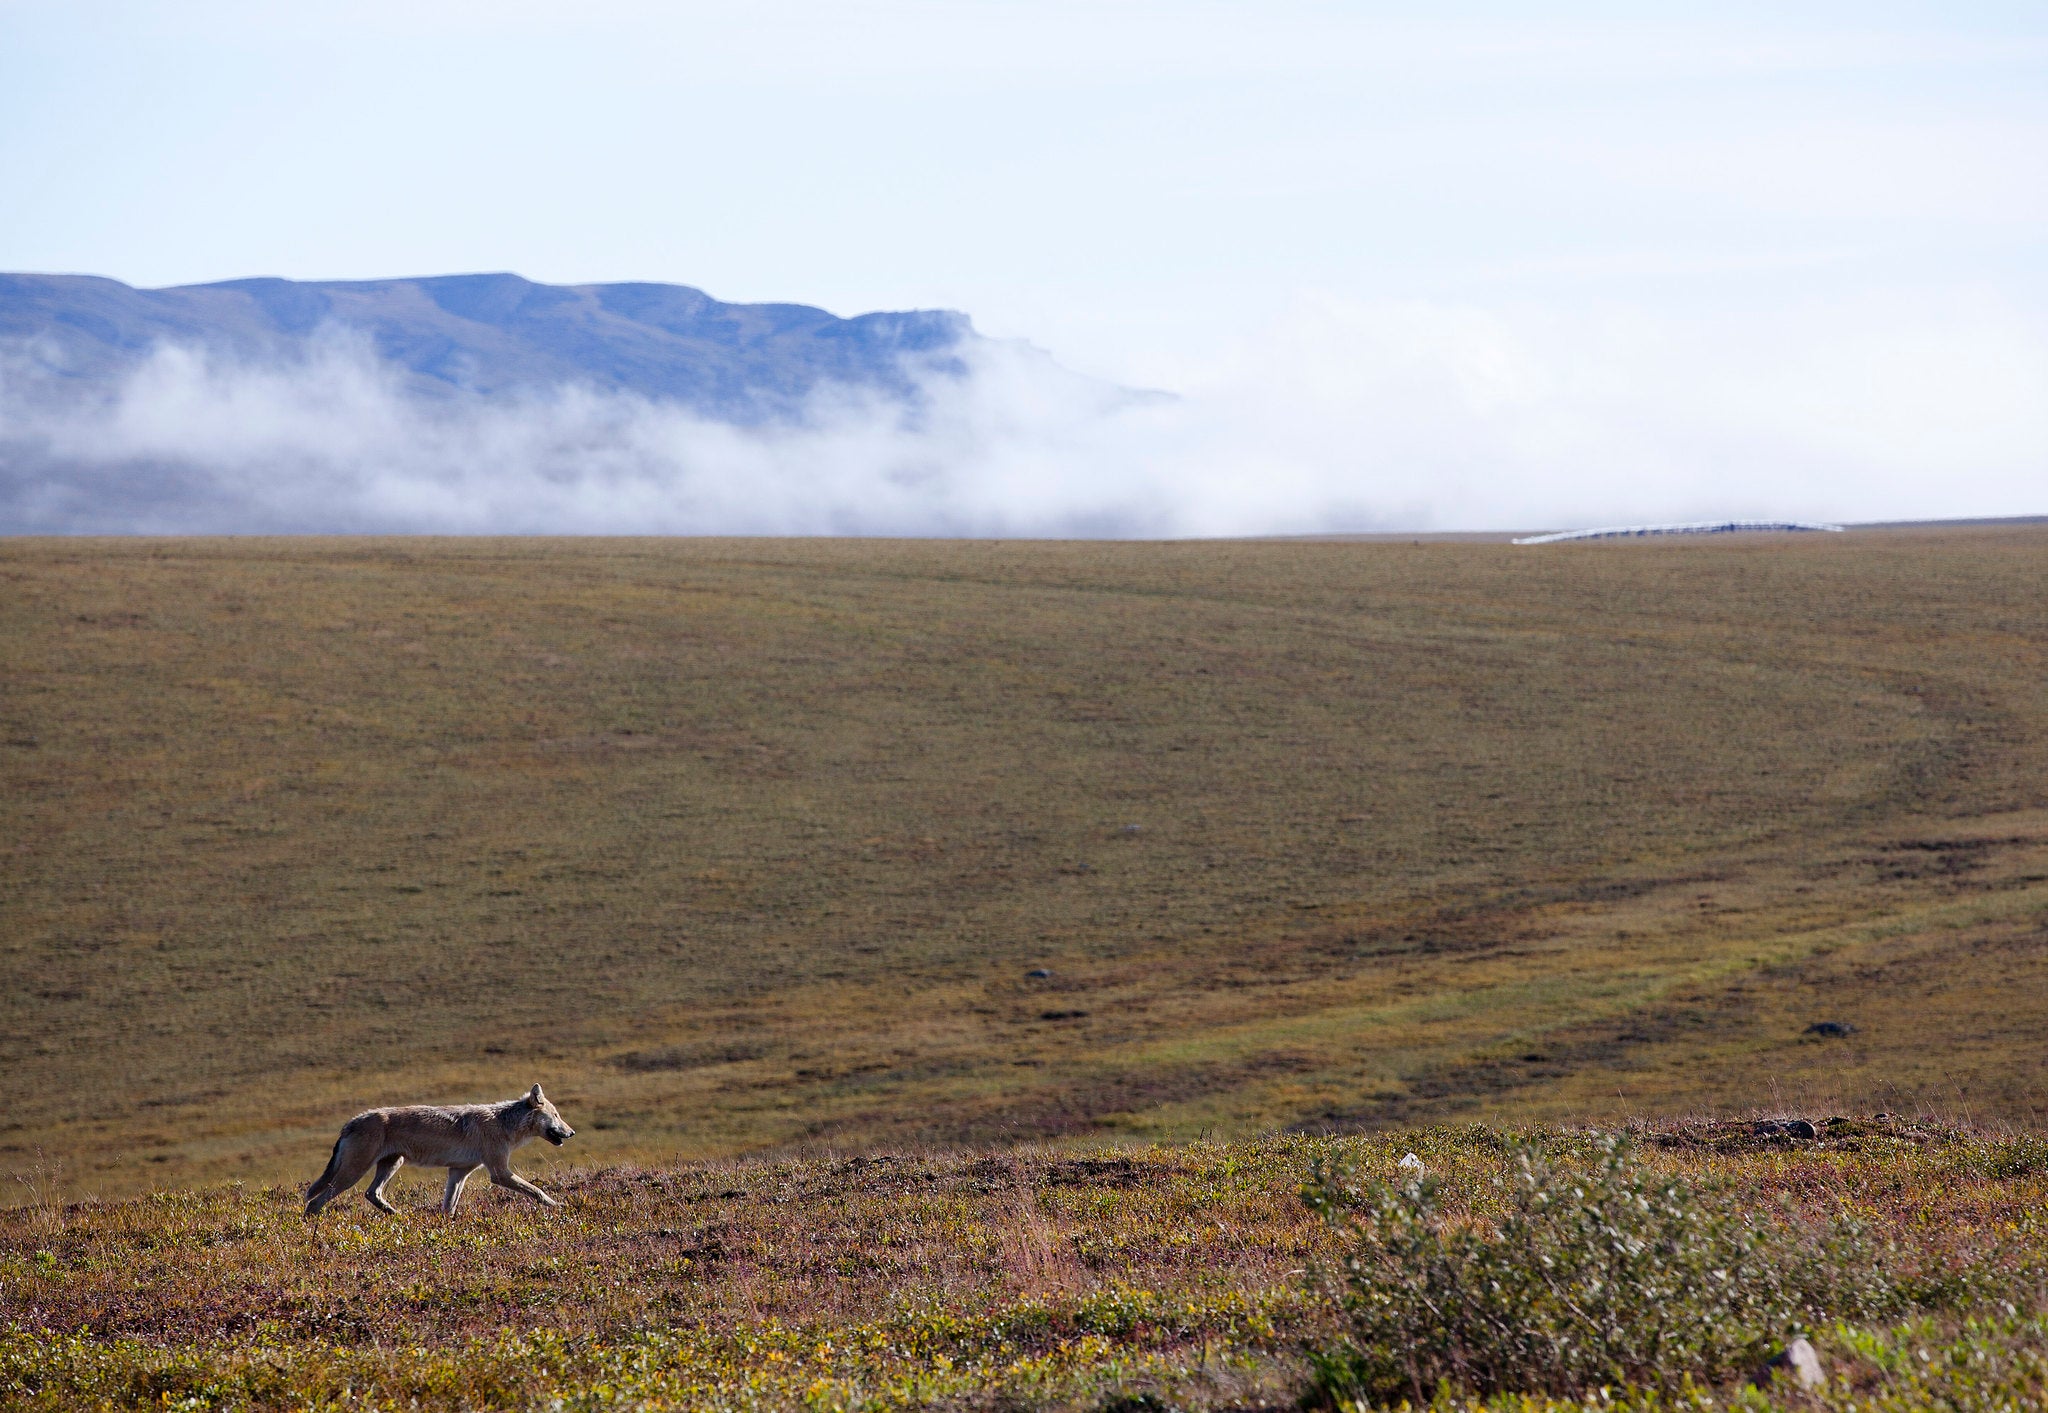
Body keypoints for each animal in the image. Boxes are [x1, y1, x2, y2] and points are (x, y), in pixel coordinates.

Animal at [303, 1084, 575, 1216]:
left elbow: (449, 1206)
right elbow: (537, 1190)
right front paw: (558, 1205)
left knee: (372, 1193)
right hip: (354, 1173)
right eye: (557, 1115)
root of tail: (350, 1122)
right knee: (314, 1203)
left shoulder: (458, 1172)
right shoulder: (499, 1173)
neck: (504, 1123)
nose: (572, 1133)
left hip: (392, 1164)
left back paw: (395, 1214)